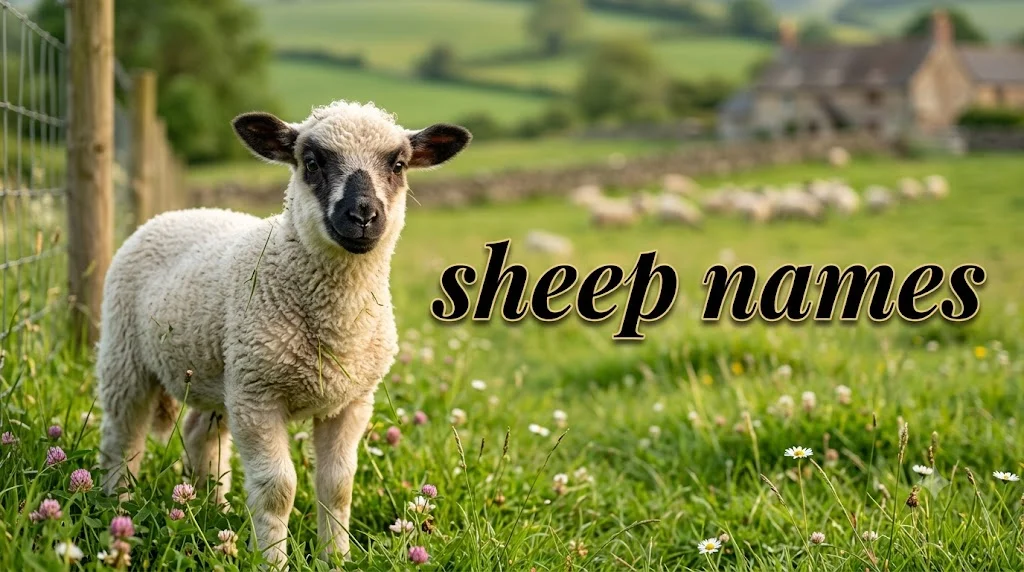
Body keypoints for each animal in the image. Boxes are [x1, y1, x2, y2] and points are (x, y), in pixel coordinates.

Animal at [96, 101, 471, 567]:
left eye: (398, 165)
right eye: (311, 162)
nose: (364, 215)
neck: (335, 326)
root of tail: (175, 215)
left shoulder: (351, 401)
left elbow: (337, 485)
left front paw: (335, 559)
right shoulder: (259, 397)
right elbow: (277, 489)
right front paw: (273, 561)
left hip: (223, 374)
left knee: (202, 434)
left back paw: (214, 508)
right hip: (126, 355)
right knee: (123, 436)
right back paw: (118, 504)